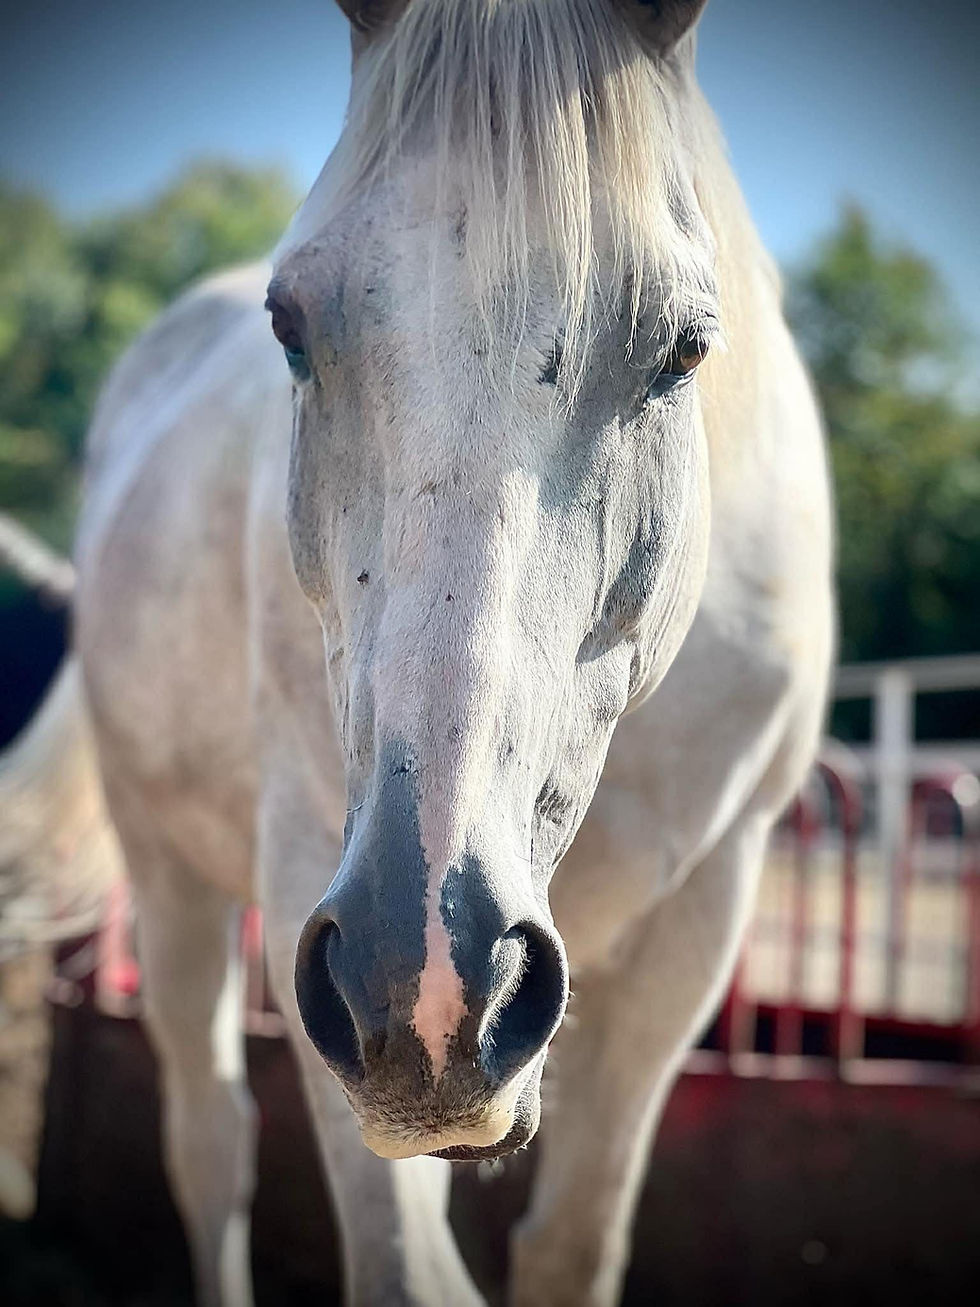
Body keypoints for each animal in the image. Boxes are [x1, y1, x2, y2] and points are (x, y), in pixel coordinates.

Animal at [49, 1, 833, 1303]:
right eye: (289, 327)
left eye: (681, 349)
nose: (424, 976)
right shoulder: (308, 872)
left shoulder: (698, 923)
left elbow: (572, 1242)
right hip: (169, 872)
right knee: (209, 1142)